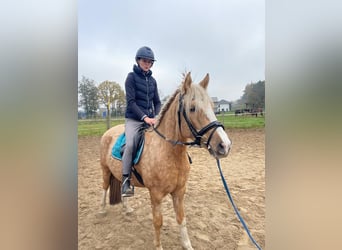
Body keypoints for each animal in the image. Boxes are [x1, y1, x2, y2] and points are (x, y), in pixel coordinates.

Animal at [99, 71, 232, 249]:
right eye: (192, 108)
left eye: (212, 106)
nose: (225, 145)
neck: (169, 152)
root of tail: (109, 132)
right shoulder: (155, 195)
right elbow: (158, 222)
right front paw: (158, 246)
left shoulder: (179, 192)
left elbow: (181, 218)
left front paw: (187, 245)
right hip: (105, 170)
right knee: (105, 187)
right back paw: (102, 210)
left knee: (122, 187)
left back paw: (127, 209)